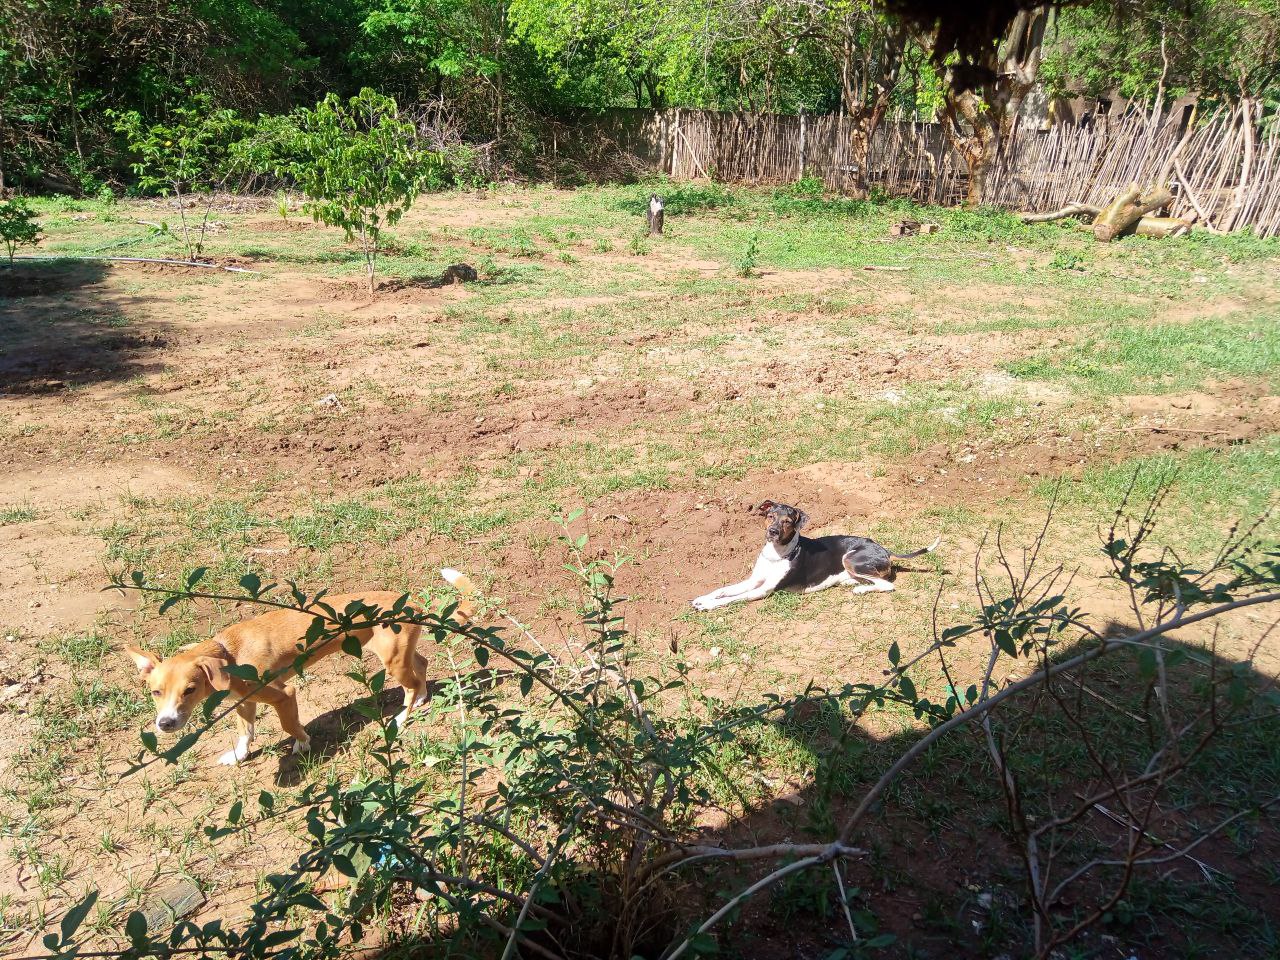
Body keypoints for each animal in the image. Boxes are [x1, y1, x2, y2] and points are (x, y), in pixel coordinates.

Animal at [126, 570, 476, 768]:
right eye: (155, 692)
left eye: (189, 690)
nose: (165, 724)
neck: (230, 654)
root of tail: (412, 603)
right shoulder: (244, 703)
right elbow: (245, 733)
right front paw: (239, 756)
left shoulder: (284, 693)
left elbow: (289, 725)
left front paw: (303, 744)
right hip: (402, 655)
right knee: (422, 668)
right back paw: (420, 700)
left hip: (393, 662)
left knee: (411, 687)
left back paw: (401, 718)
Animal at [696, 499, 936, 611]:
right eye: (770, 516)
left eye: (787, 521)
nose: (772, 531)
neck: (777, 554)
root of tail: (885, 550)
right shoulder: (754, 580)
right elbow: (724, 590)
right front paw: (702, 598)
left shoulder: (764, 590)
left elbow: (733, 598)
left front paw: (708, 606)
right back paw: (851, 582)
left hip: (849, 558)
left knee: (886, 584)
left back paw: (860, 589)